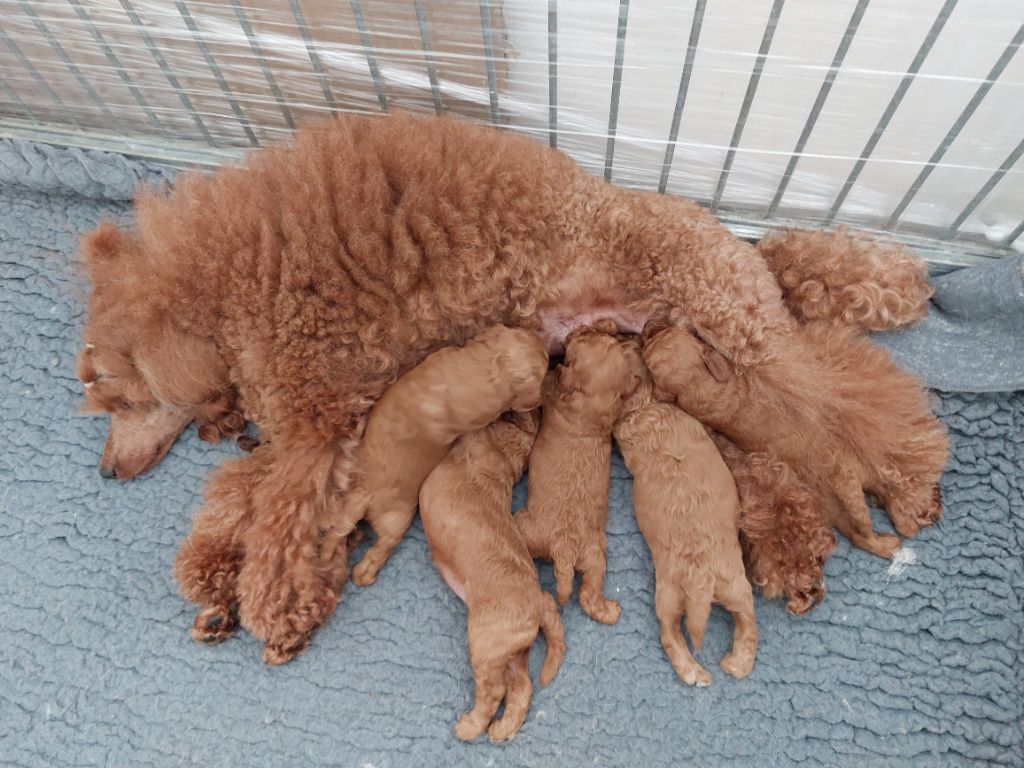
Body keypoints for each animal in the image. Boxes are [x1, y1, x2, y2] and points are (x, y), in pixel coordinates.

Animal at [342, 323, 552, 581]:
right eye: (546, 366)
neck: (488, 366)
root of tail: (365, 496)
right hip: (398, 516)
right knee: (381, 547)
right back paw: (364, 574)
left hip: (349, 508)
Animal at [417, 411, 569, 741]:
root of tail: (541, 603)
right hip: (511, 650)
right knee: (523, 686)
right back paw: (503, 729)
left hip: (485, 641)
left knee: (495, 690)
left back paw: (470, 726)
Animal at [516, 325, 634, 626]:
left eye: (577, 344)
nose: (573, 331)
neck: (591, 404)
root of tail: (564, 547)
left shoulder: (550, 389)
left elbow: (547, 382)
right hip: (595, 555)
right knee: (589, 591)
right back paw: (609, 610)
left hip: (527, 527)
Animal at [610, 339, 757, 688]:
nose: (630, 336)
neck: (643, 407)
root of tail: (700, 580)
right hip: (733, 582)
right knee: (739, 622)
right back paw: (726, 666)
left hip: (676, 592)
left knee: (675, 627)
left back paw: (704, 669)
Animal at [643, 319, 946, 561]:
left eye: (662, 332)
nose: (646, 326)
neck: (699, 387)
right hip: (848, 488)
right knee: (870, 522)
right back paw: (891, 538)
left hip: (844, 500)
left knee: (873, 520)